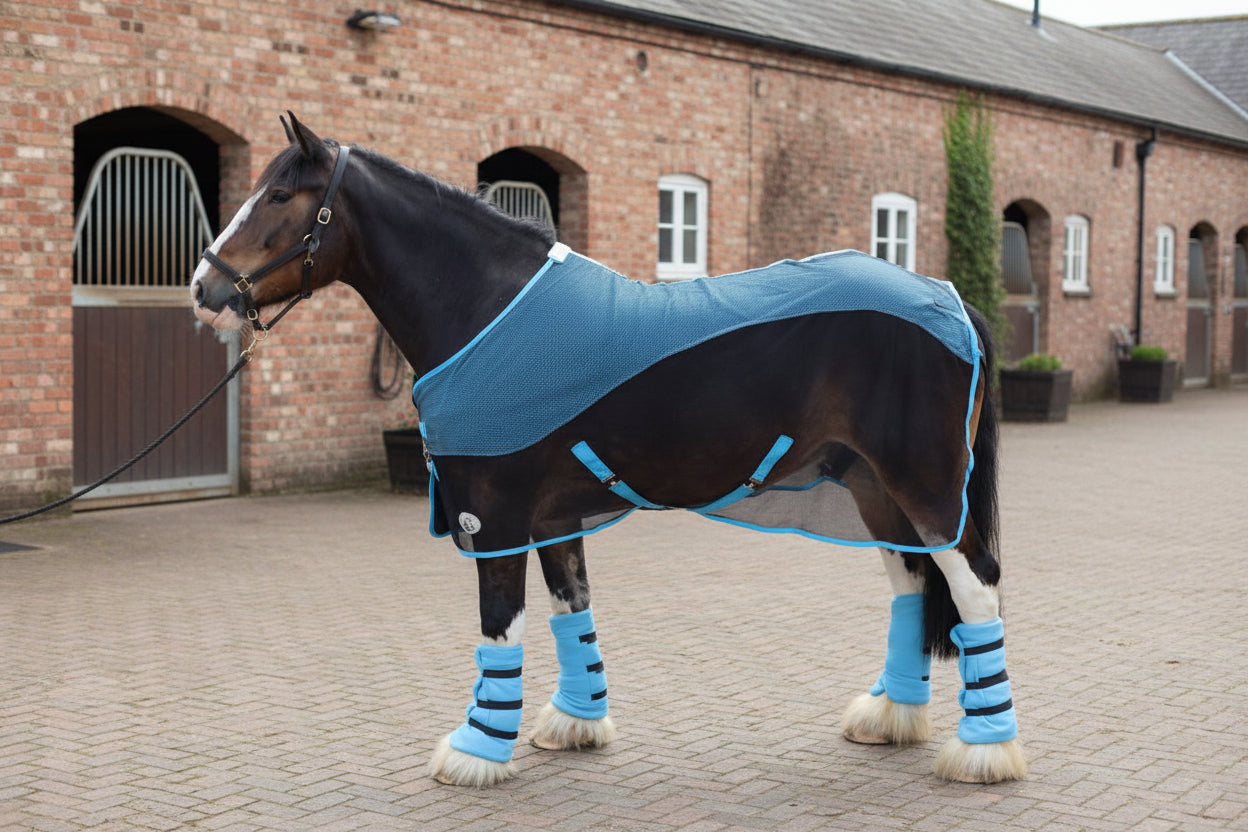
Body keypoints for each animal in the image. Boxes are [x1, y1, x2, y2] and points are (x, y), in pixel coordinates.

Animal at [190, 114, 1026, 787]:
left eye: (281, 197)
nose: (204, 290)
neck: (491, 312)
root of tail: (952, 299)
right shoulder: (554, 517)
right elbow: (572, 610)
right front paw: (575, 723)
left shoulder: (491, 519)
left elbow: (500, 625)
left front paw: (476, 750)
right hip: (874, 489)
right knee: (913, 587)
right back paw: (891, 717)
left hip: (924, 486)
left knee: (977, 587)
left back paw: (983, 751)